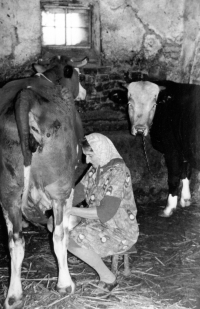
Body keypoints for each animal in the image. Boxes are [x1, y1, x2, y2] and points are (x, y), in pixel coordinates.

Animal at [0, 55, 87, 308]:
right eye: (79, 75)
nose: (85, 92)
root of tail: (25, 96)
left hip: (8, 191)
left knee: (15, 241)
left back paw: (13, 296)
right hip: (60, 187)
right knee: (58, 235)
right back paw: (65, 284)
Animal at [111, 80, 200, 217]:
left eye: (154, 105)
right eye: (129, 104)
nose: (140, 129)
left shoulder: (172, 149)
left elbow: (174, 177)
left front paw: (169, 208)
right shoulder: (185, 148)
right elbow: (186, 173)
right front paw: (185, 199)